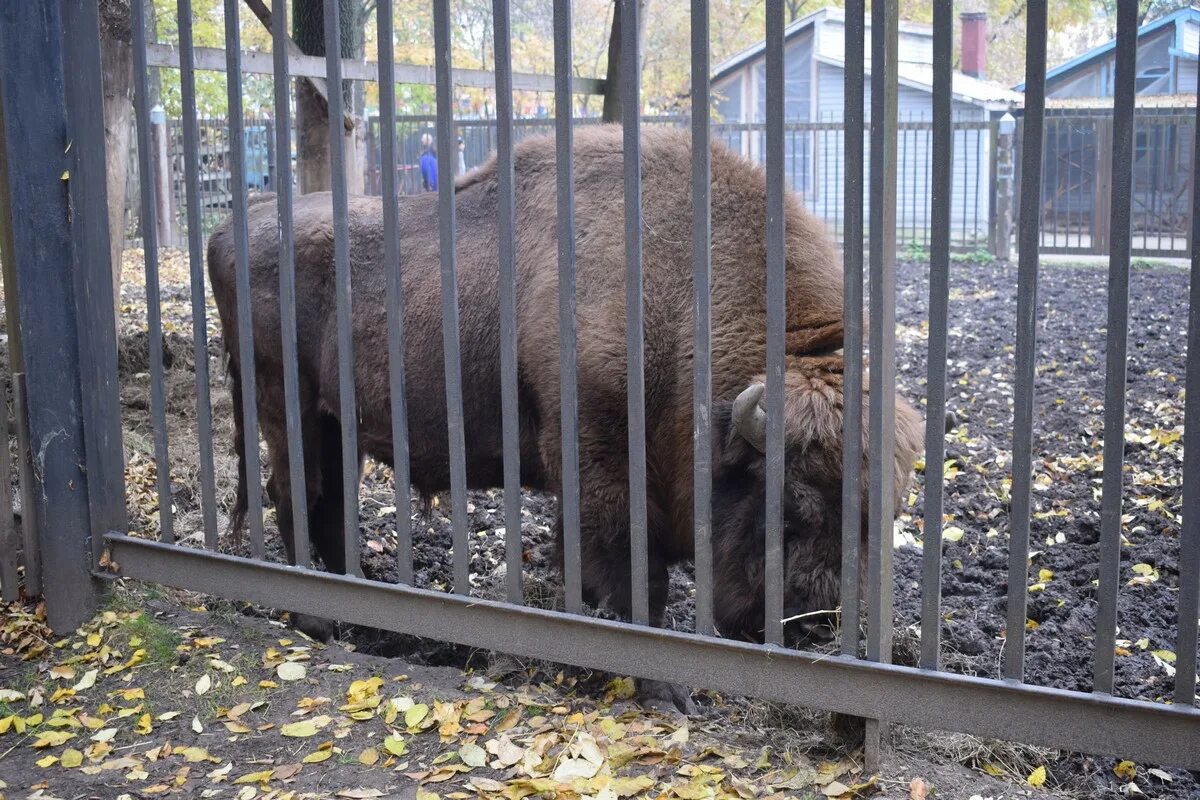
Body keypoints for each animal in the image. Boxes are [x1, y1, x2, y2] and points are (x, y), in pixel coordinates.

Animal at [206, 122, 921, 705]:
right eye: (787, 508)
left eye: (877, 519)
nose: (811, 626)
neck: (680, 295)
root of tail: (232, 227)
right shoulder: (601, 464)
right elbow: (641, 580)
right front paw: (665, 692)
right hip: (288, 412)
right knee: (294, 496)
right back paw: (319, 623)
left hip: (339, 426)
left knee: (328, 506)